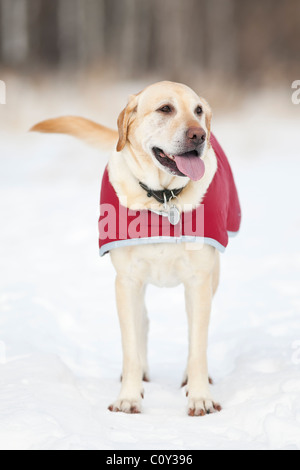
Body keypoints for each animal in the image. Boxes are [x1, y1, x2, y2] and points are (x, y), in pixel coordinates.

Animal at [31, 80, 241, 414]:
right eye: (165, 109)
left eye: (198, 110)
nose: (200, 135)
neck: (163, 199)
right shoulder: (126, 282)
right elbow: (130, 346)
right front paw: (128, 397)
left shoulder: (199, 281)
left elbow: (197, 347)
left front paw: (200, 397)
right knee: (142, 324)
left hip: (210, 280)